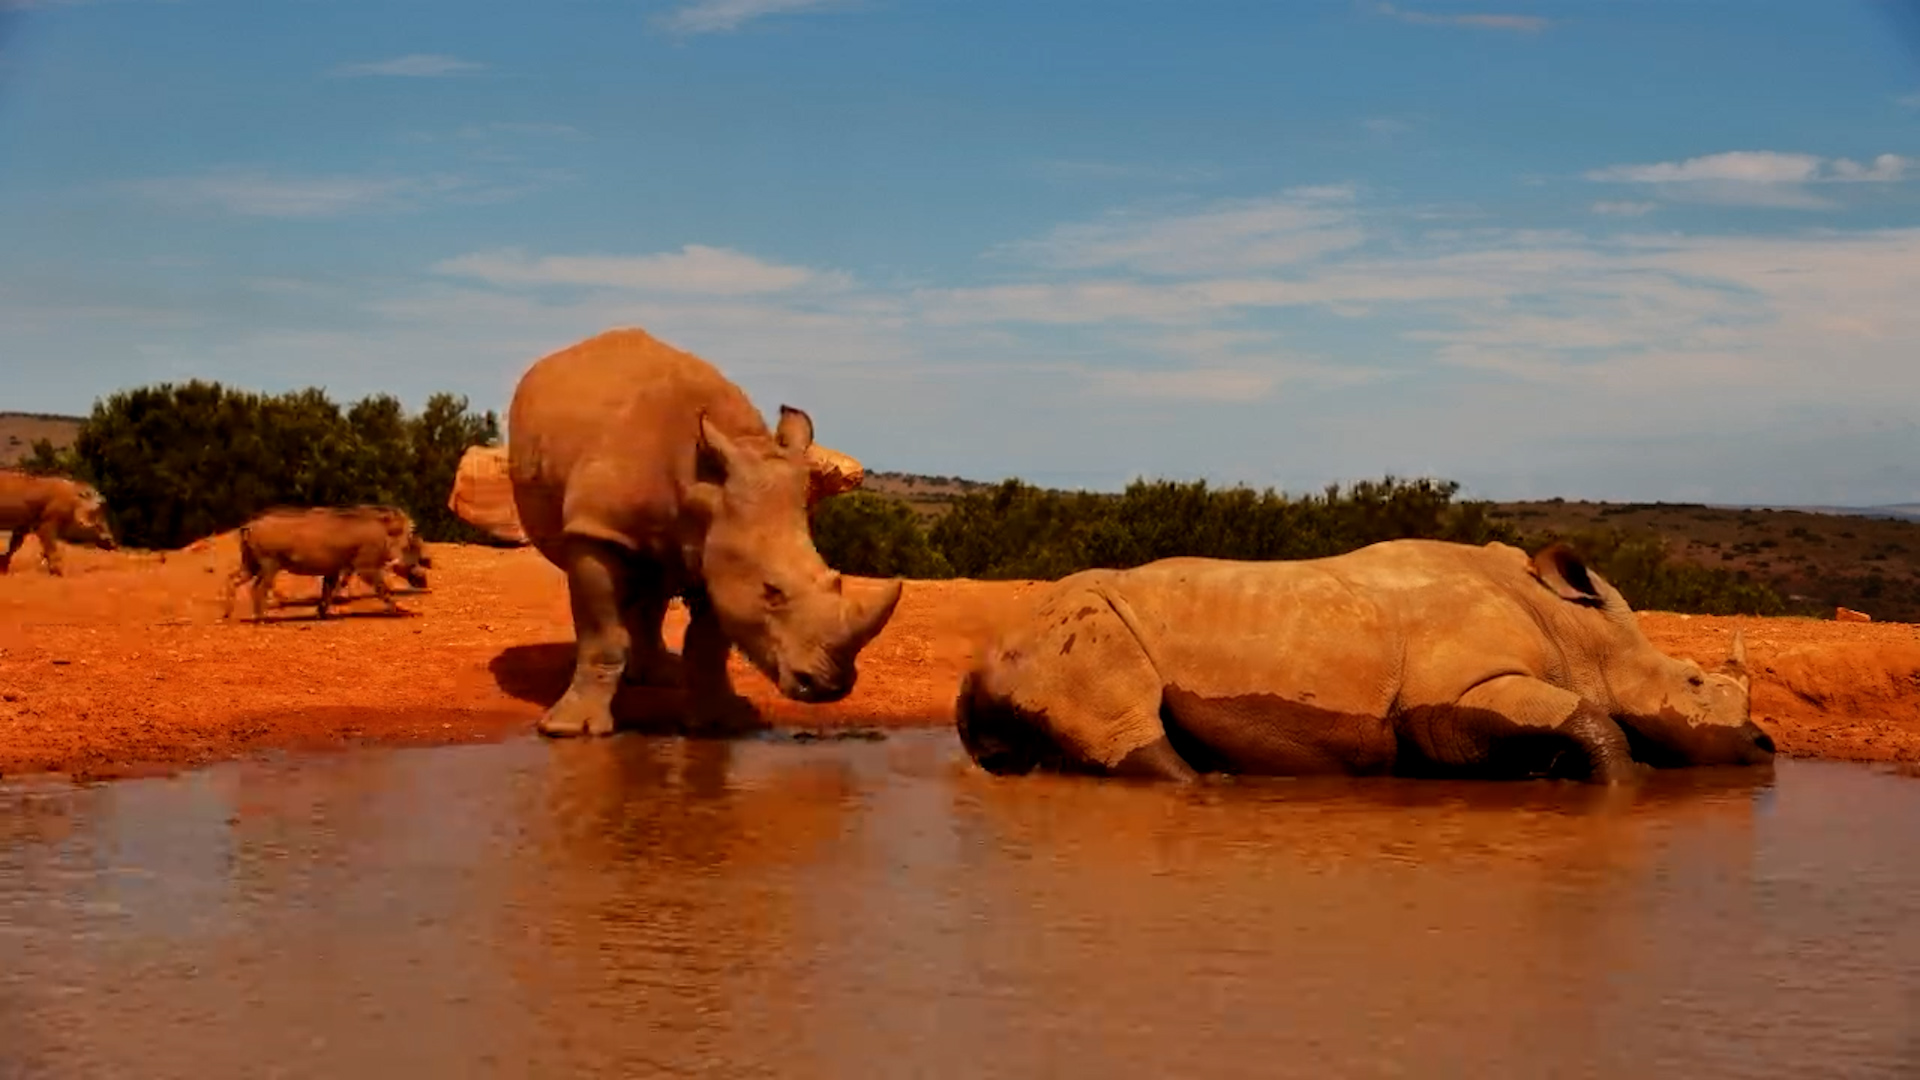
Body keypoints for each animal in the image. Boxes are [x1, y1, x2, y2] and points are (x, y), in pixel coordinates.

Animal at [222, 504, 429, 621]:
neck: (383, 533)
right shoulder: (366, 568)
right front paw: (403, 611)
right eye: (409, 541)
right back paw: (263, 617)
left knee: (233, 579)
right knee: (257, 588)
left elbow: (327, 593)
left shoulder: (333, 571)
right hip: (268, 566)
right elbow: (383, 589)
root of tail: (249, 526)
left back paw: (227, 615)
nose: (424, 581)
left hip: (250, 565)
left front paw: (322, 615)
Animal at [507, 327, 904, 738]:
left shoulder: (722, 545)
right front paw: (571, 730)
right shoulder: (597, 530)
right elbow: (602, 633)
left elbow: (709, 642)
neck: (702, 486)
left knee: (656, 579)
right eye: (771, 591)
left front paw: (718, 725)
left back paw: (659, 678)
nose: (830, 688)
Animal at [955, 538, 1775, 785]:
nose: (1764, 746)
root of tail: (981, 659)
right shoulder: (1459, 695)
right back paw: (1212, 784)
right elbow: (1595, 722)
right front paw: (1625, 785)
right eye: (1693, 682)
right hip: (1075, 625)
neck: (1578, 631)